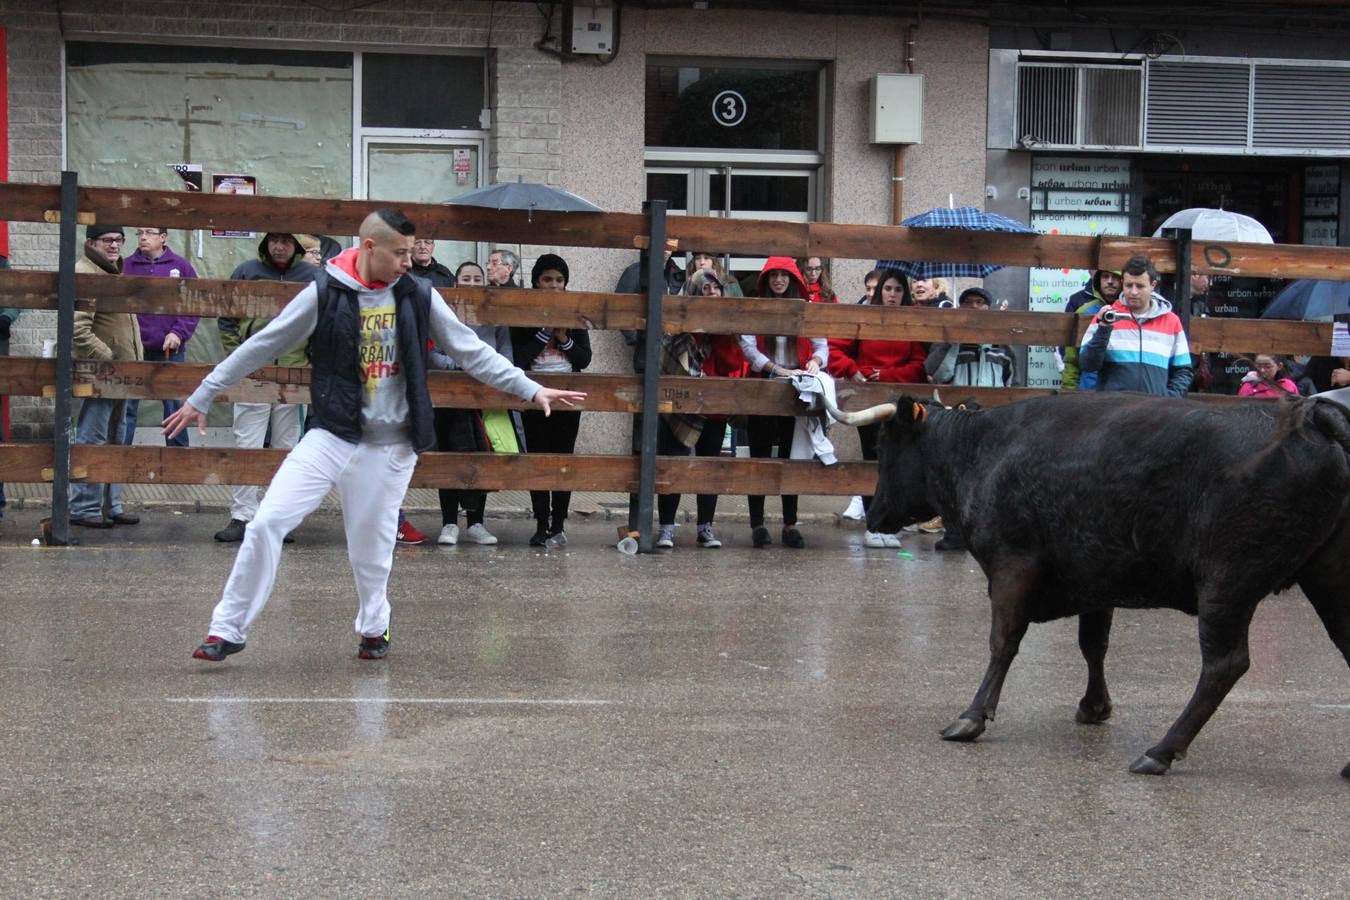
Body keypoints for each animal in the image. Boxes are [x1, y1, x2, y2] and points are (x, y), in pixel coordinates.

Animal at [853, 391, 1350, 777]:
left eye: (886, 446)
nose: (874, 515)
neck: (981, 450)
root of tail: (1310, 417)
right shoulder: (1096, 576)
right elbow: (1093, 644)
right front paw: (1094, 707)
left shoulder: (1013, 565)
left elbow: (1003, 642)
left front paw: (972, 716)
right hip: (1327, 577)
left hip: (1227, 584)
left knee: (1223, 666)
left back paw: (1161, 751)